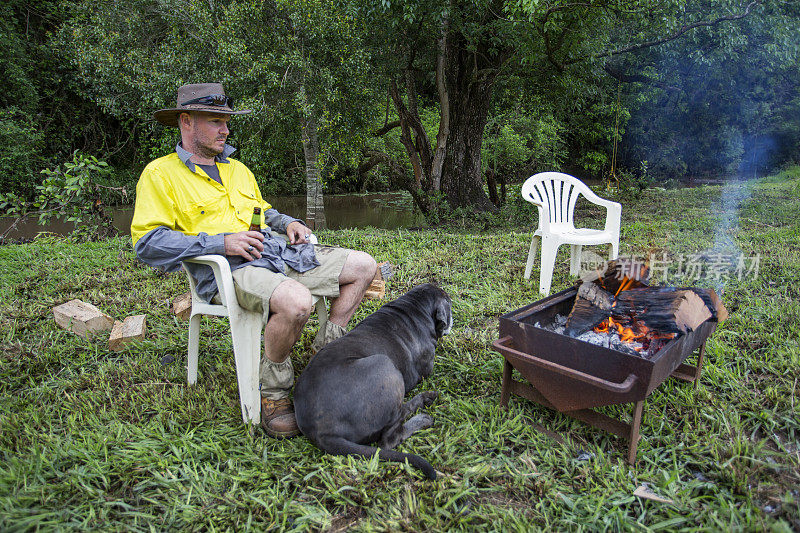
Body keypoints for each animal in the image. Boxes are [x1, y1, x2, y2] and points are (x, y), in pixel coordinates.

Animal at [292, 282, 450, 478]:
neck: (414, 307)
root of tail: (322, 432)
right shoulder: (426, 369)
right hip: (386, 366)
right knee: (390, 437)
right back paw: (423, 412)